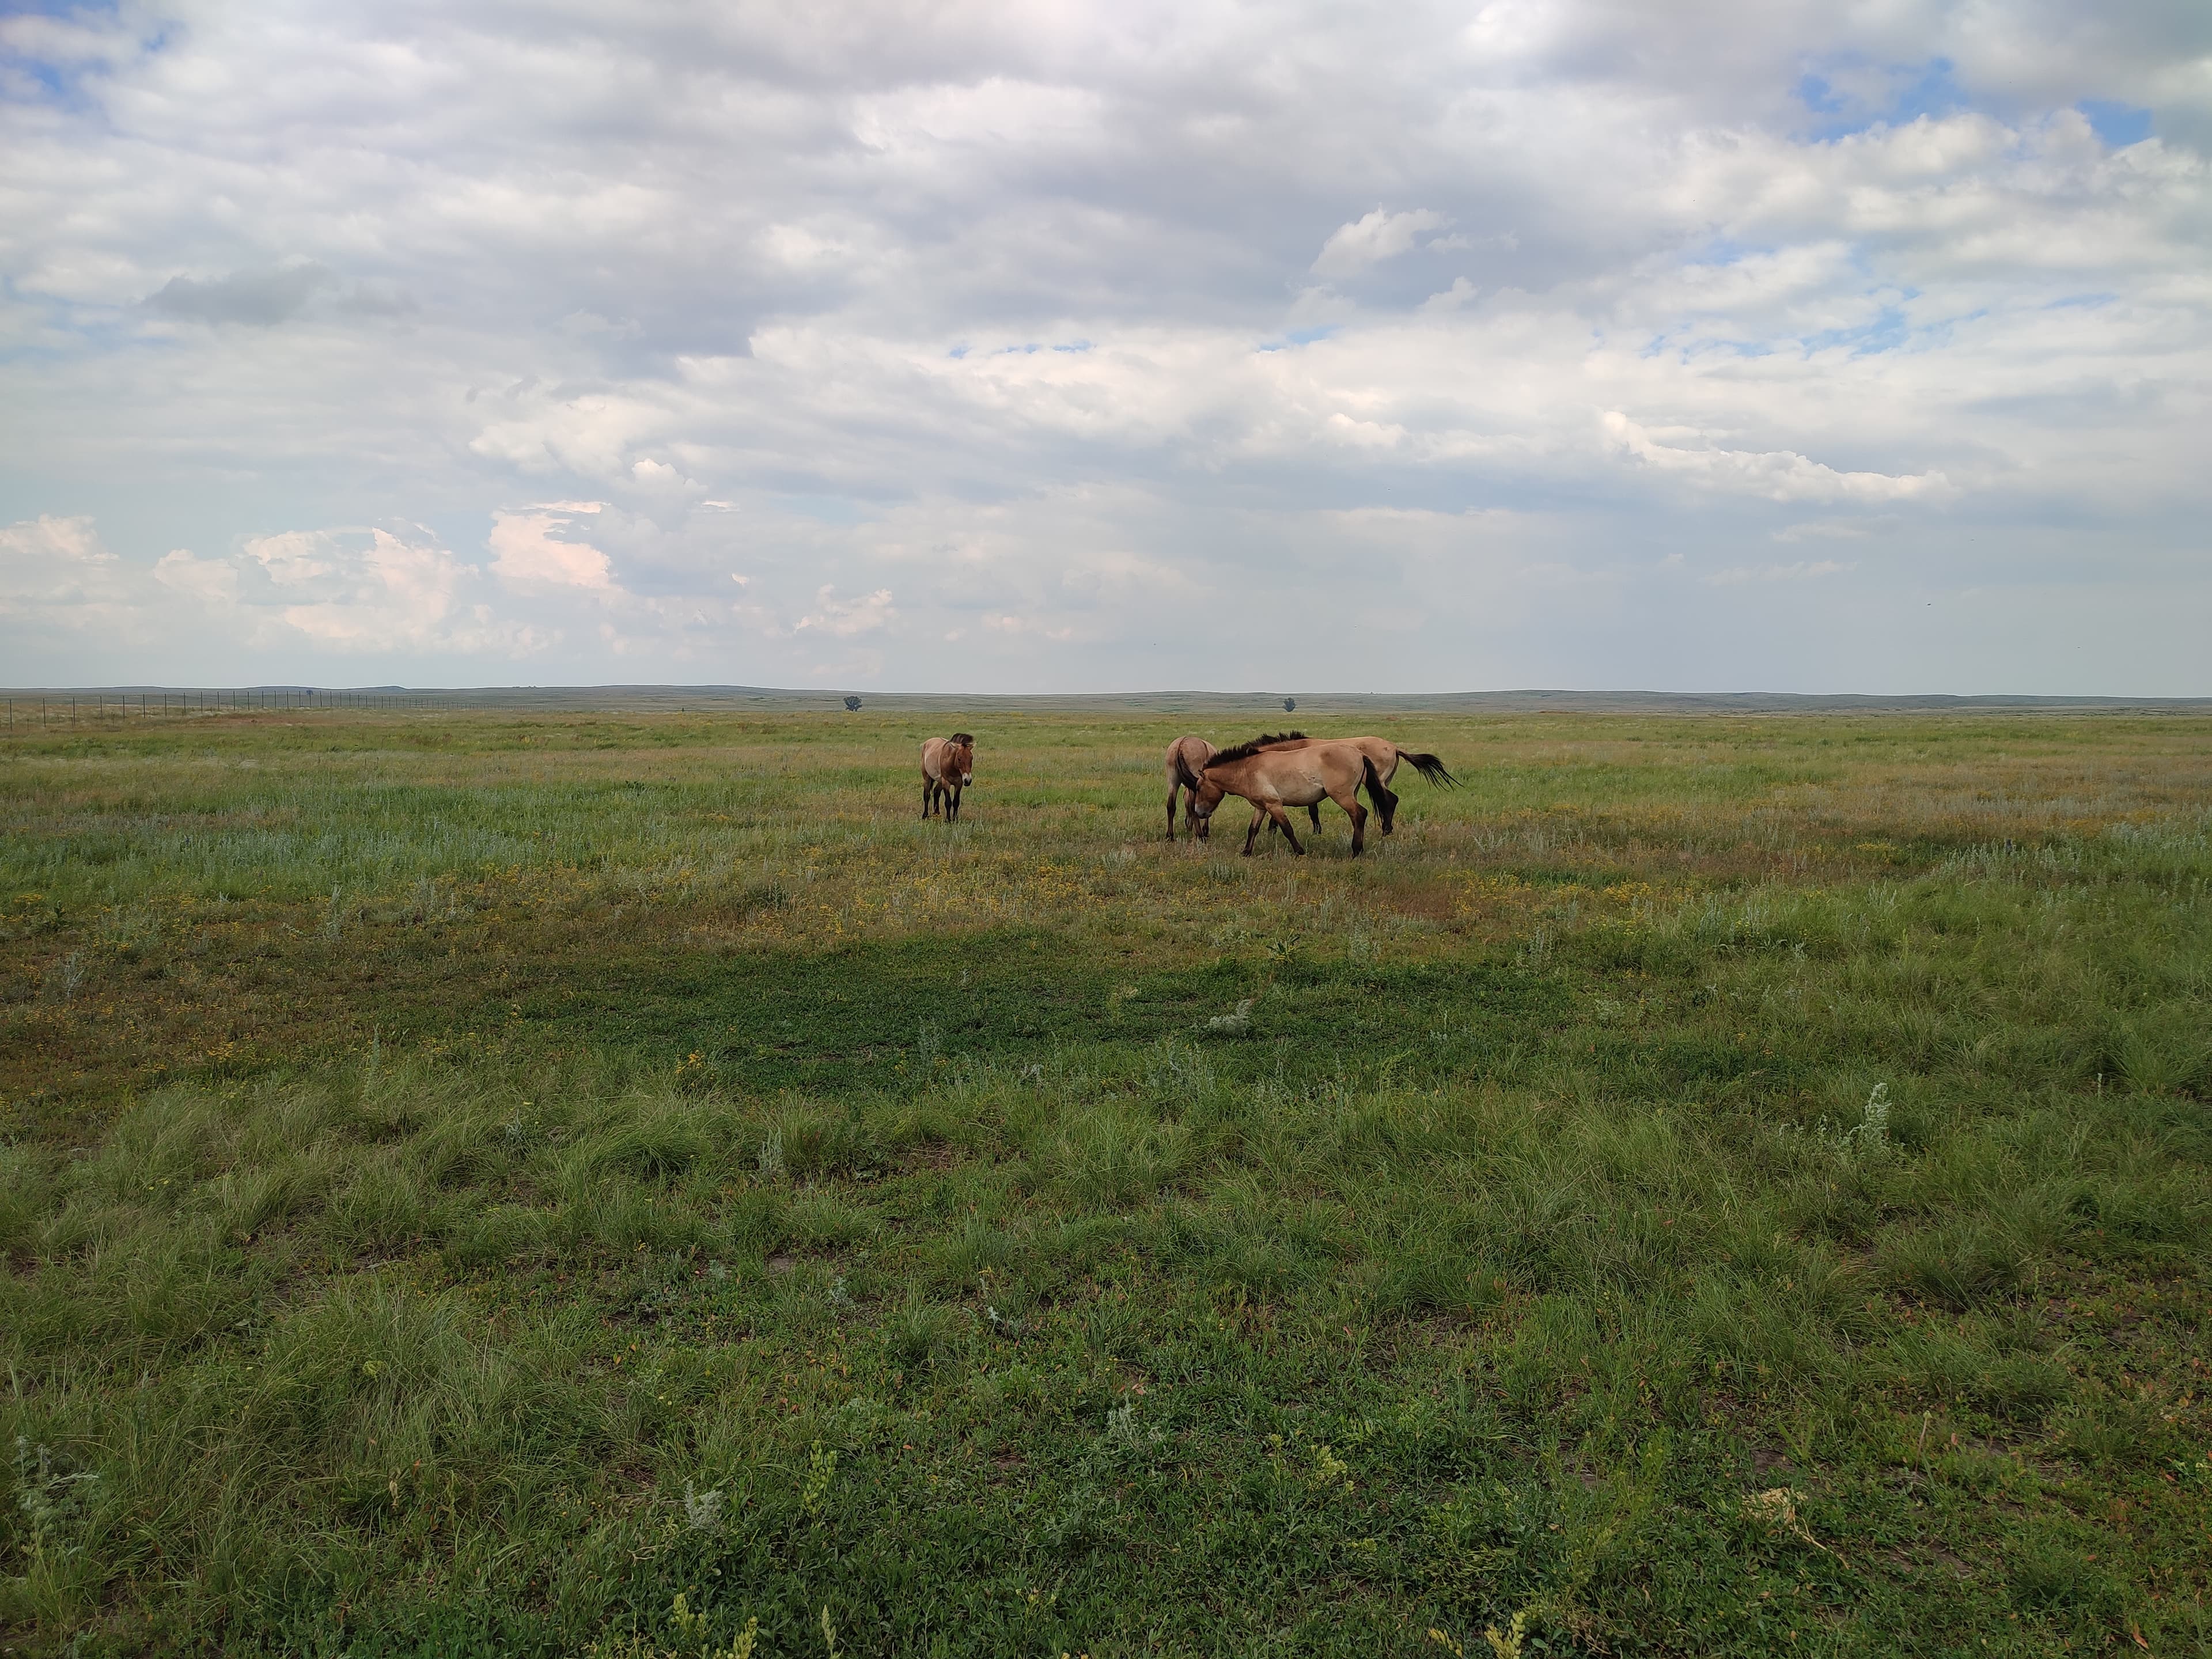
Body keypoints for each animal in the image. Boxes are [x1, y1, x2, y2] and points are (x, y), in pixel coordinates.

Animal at [921, 733, 975, 822]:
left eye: (971, 758)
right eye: (959, 758)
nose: (968, 780)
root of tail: (927, 743)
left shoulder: (959, 783)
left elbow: (956, 802)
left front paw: (955, 819)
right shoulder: (946, 782)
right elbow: (948, 802)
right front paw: (948, 820)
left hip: (940, 781)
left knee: (936, 792)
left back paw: (937, 814)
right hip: (927, 778)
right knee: (927, 795)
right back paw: (925, 816)